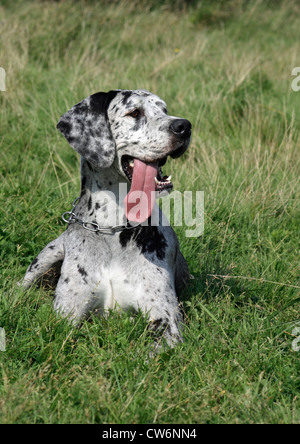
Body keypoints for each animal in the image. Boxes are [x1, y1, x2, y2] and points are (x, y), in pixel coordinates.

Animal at [22, 88, 192, 348]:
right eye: (135, 112)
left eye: (164, 110)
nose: (184, 126)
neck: (113, 229)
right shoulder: (65, 315)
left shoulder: (166, 320)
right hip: (46, 257)